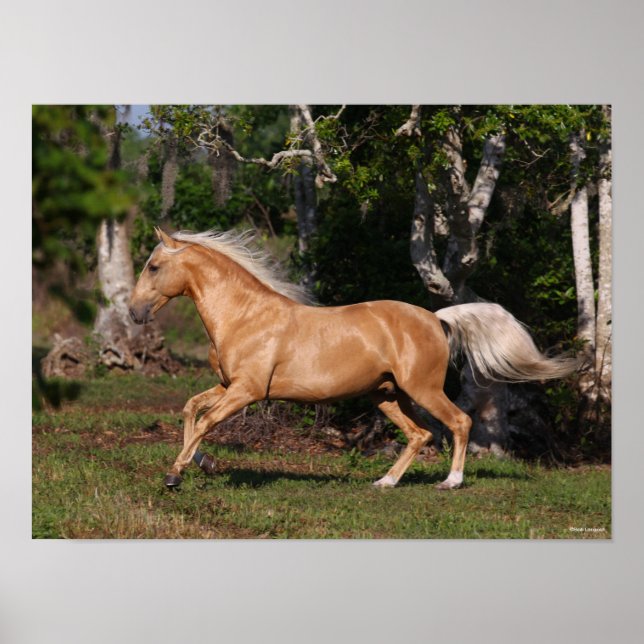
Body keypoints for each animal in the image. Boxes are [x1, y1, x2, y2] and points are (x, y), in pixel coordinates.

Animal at [129, 227, 579, 490]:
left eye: (153, 267)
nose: (133, 313)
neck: (245, 316)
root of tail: (436, 318)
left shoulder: (247, 391)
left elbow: (206, 420)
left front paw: (175, 475)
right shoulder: (227, 385)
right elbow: (191, 409)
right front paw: (199, 462)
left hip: (423, 390)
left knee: (459, 422)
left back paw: (451, 482)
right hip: (387, 395)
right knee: (420, 434)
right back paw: (385, 482)